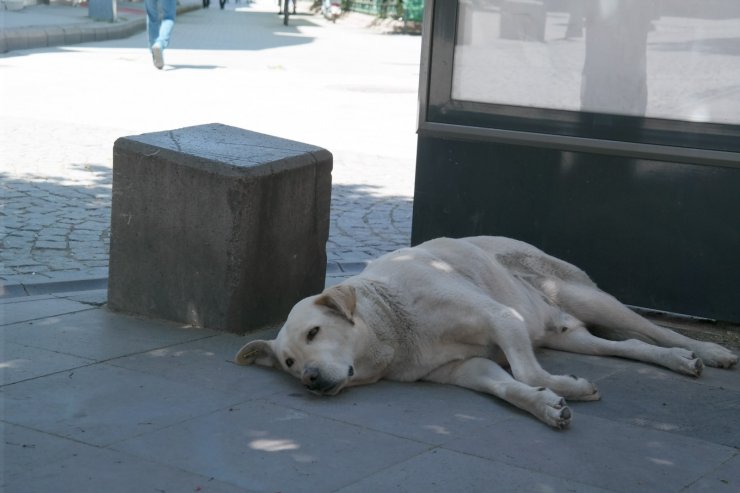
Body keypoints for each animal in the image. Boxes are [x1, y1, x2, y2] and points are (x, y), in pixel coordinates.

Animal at [234, 235, 736, 426]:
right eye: (289, 363)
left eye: (315, 333)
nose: (309, 380)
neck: (395, 328)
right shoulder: (463, 368)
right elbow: (507, 386)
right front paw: (549, 403)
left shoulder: (500, 317)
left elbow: (527, 373)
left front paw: (562, 390)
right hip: (566, 332)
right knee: (630, 346)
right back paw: (674, 361)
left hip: (585, 297)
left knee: (655, 331)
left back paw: (706, 351)